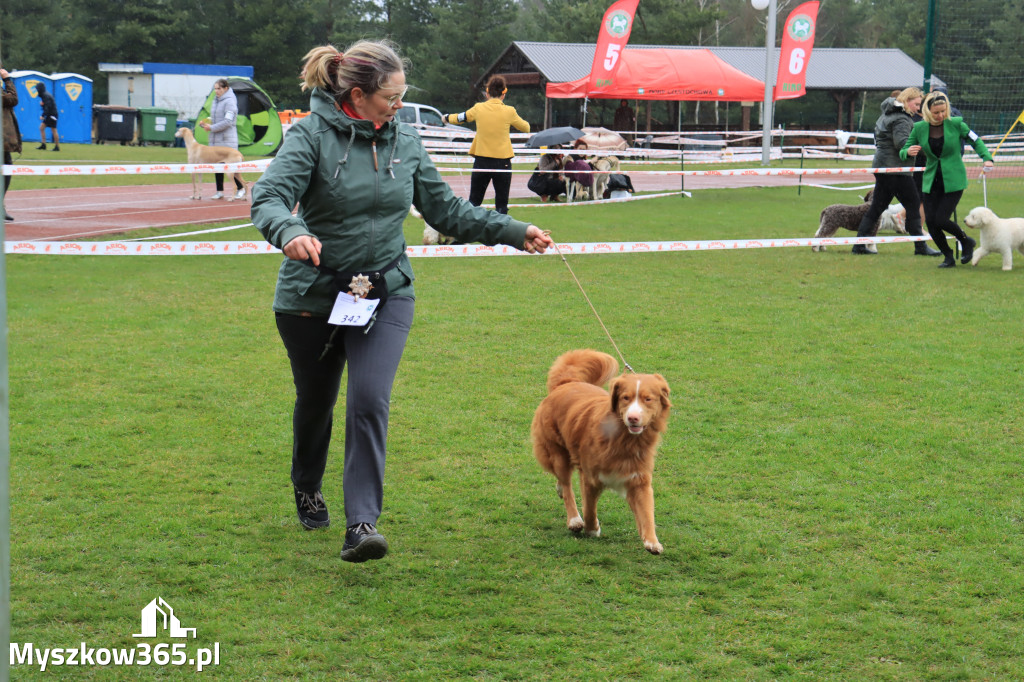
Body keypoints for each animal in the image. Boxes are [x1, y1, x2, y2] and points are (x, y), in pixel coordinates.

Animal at [532, 350, 675, 552]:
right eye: (625, 398)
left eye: (648, 399)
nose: (633, 418)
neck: (625, 440)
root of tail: (566, 383)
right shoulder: (591, 476)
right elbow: (590, 509)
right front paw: (592, 529)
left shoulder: (639, 479)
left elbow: (647, 512)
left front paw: (652, 541)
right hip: (557, 451)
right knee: (567, 485)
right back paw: (574, 519)